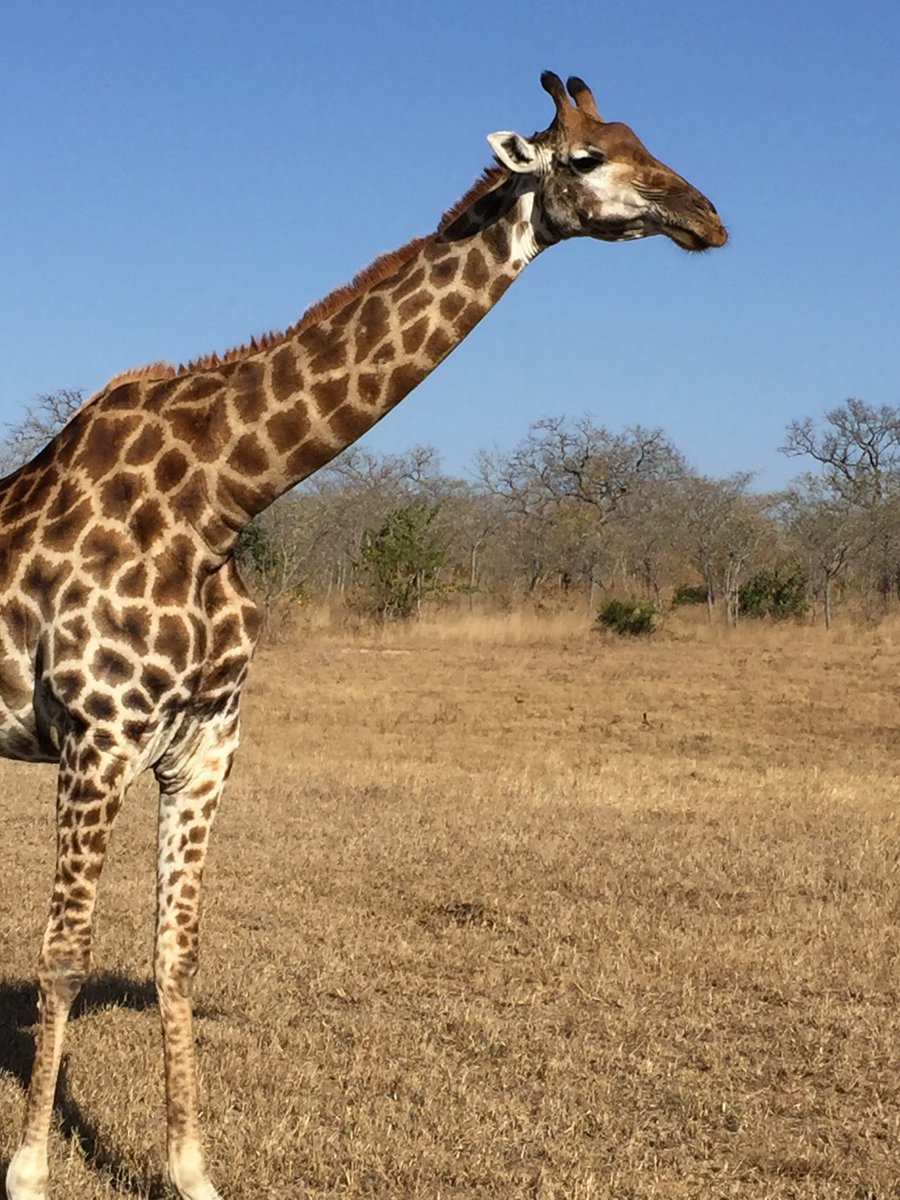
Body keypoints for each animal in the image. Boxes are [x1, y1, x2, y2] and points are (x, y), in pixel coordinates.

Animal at [3, 72, 726, 1200]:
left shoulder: (205, 744)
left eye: (645, 139)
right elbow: (66, 956)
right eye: (584, 160)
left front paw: (192, 1170)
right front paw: (29, 1170)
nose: (707, 218)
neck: (223, 498)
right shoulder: (97, 738)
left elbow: (175, 955)